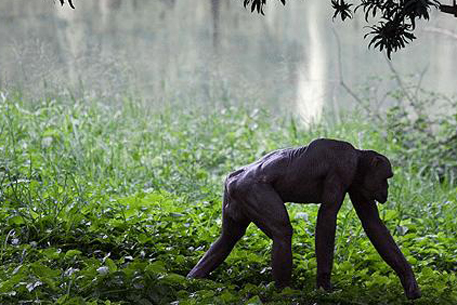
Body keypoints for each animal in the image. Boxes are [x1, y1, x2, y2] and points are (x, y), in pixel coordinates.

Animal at [186, 138, 420, 300]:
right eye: (386, 177)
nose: (386, 189)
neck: (357, 161)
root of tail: (232, 179)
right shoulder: (342, 168)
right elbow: (327, 218)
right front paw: (324, 288)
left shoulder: (360, 188)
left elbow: (374, 225)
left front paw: (409, 281)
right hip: (251, 191)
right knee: (282, 232)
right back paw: (283, 292)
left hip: (234, 203)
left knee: (227, 238)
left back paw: (192, 281)